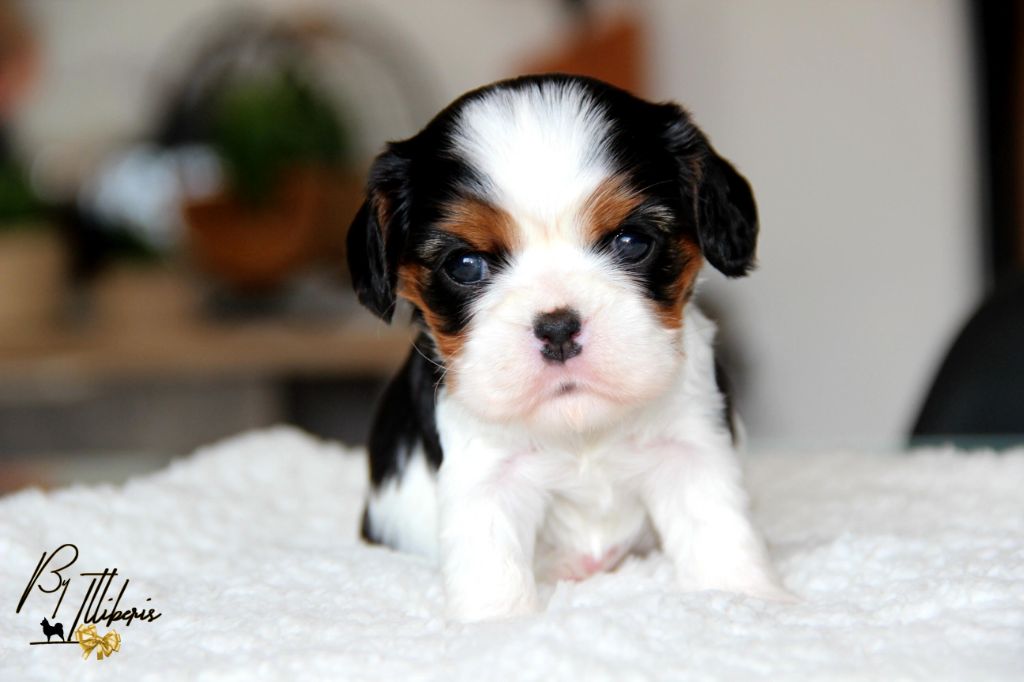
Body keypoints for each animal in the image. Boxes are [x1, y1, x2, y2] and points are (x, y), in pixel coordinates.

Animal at [346, 75, 782, 622]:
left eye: (632, 241)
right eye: (464, 264)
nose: (557, 328)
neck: (579, 427)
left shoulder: (691, 446)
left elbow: (719, 528)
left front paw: (745, 597)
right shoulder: (487, 474)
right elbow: (491, 563)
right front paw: (499, 624)